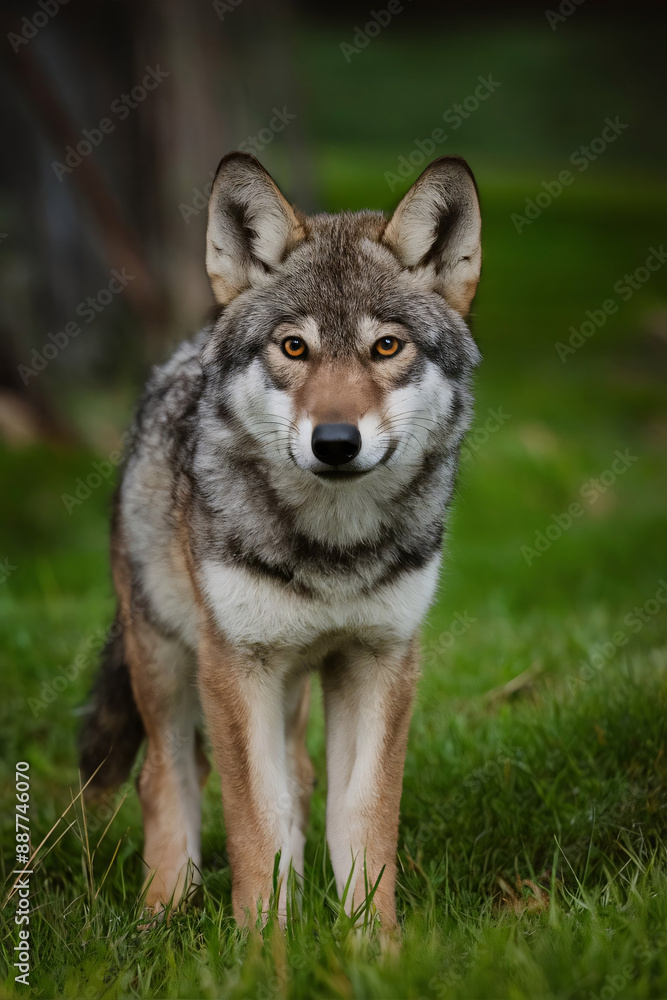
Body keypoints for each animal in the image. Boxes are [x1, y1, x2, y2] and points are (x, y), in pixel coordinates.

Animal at [79, 151, 482, 928]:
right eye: (294, 347)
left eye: (386, 346)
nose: (335, 442)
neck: (332, 552)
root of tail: (184, 351)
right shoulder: (235, 667)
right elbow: (253, 823)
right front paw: (263, 944)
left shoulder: (380, 661)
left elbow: (363, 821)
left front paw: (372, 943)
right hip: (165, 659)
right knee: (163, 776)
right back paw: (162, 911)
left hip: (292, 679)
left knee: (297, 776)